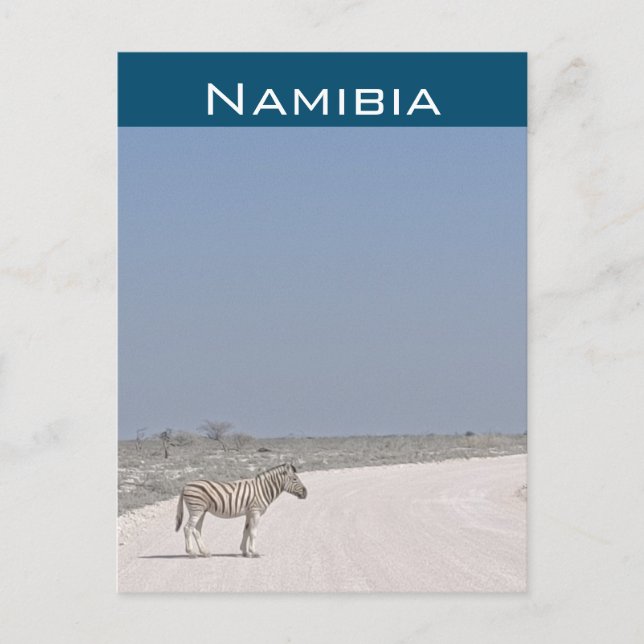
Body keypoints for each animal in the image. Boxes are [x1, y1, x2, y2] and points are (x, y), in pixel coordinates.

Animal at [175, 462, 307, 558]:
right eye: (295, 479)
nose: (306, 493)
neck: (263, 489)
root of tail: (186, 484)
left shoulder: (249, 513)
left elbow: (246, 531)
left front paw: (245, 552)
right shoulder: (255, 512)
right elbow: (253, 532)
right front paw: (254, 552)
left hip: (201, 511)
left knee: (196, 530)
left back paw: (205, 552)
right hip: (196, 509)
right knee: (187, 528)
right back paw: (191, 553)